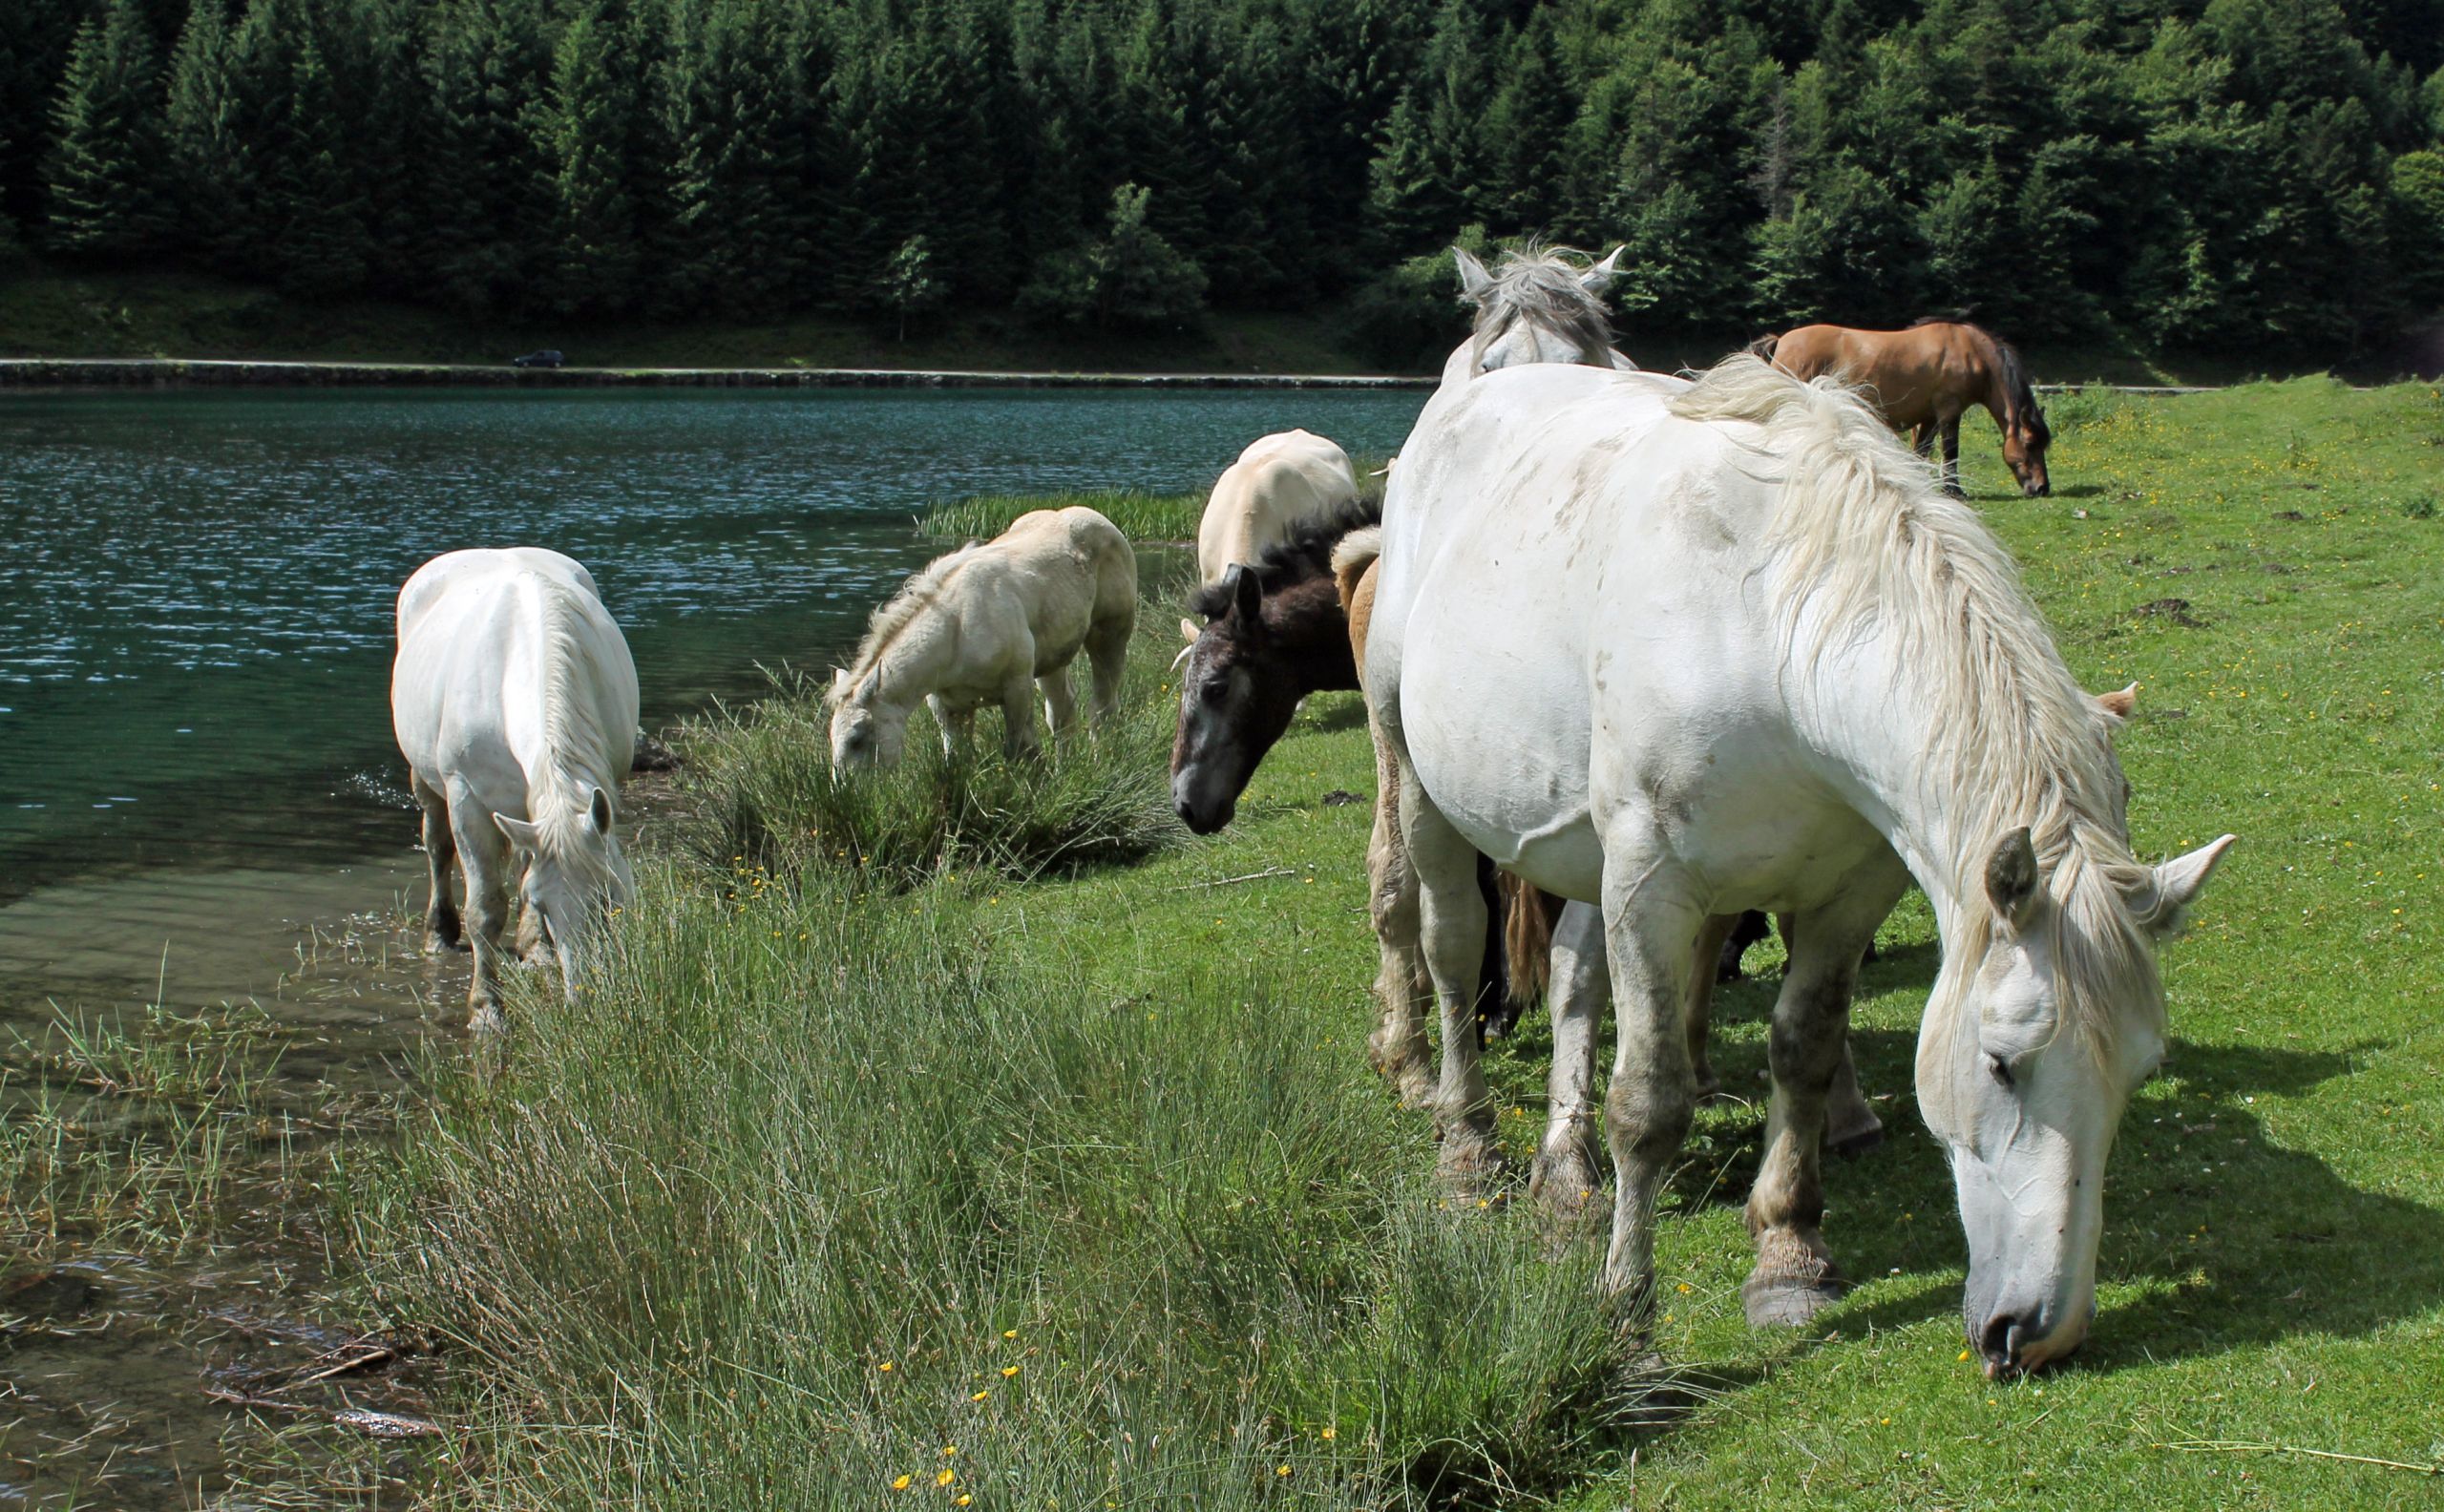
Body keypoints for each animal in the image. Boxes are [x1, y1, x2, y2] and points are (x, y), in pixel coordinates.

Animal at [390, 544, 640, 1030]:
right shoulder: (467, 800)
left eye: (610, 899)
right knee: (436, 845)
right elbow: (486, 909)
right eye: (544, 905)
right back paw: (439, 932)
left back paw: (535, 949)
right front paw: (486, 1009)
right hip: (426, 781)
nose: (586, 1000)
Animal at [831, 505, 1133, 766]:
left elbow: (1022, 751)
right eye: (831, 739)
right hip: (1052, 660)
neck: (957, 631)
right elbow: (957, 758)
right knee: (1062, 713)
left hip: (1111, 634)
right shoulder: (948, 705)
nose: (849, 792)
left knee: (1103, 707)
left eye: (857, 740)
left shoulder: (1017, 686)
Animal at [1368, 354, 2238, 1368]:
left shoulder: (1848, 895)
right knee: (1450, 943)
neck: (1767, 631)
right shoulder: (1652, 888)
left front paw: (1788, 1255)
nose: (2036, 1333)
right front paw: (1629, 1308)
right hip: (1417, 776)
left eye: (2137, 1072)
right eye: (2000, 1065)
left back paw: (1567, 1172)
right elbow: (1651, 1102)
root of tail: (1472, 385)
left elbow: (1806, 1053)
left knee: (1574, 978)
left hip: (1586, 854)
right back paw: (1466, 1148)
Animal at [1749, 320, 2053, 503]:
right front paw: (1954, 491)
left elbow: (1922, 453)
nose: (2042, 488)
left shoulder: (1929, 417)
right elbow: (1950, 452)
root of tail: (1781, 341)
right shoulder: (1948, 411)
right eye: (2029, 444)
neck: (1968, 350)